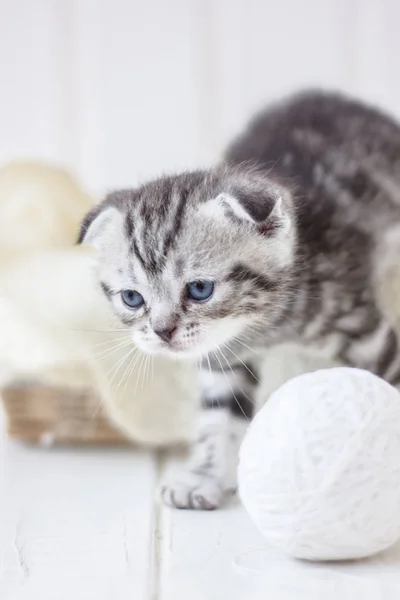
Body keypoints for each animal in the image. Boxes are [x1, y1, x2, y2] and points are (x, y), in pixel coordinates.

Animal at [78, 91, 400, 508]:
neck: (268, 326)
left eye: (200, 289)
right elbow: (219, 415)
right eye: (132, 298)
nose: (163, 331)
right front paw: (205, 477)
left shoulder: (368, 333)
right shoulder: (223, 355)